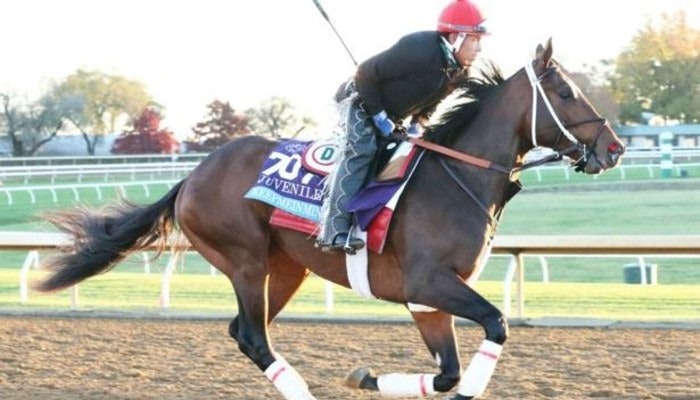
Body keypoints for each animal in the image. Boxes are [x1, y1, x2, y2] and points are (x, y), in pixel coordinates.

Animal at [36, 40, 624, 399]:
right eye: (566, 92)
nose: (614, 149)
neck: (457, 177)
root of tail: (193, 176)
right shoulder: (429, 283)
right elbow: (495, 327)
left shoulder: (427, 300)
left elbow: (447, 373)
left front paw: (366, 377)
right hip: (245, 262)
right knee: (254, 338)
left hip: (285, 270)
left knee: (244, 332)